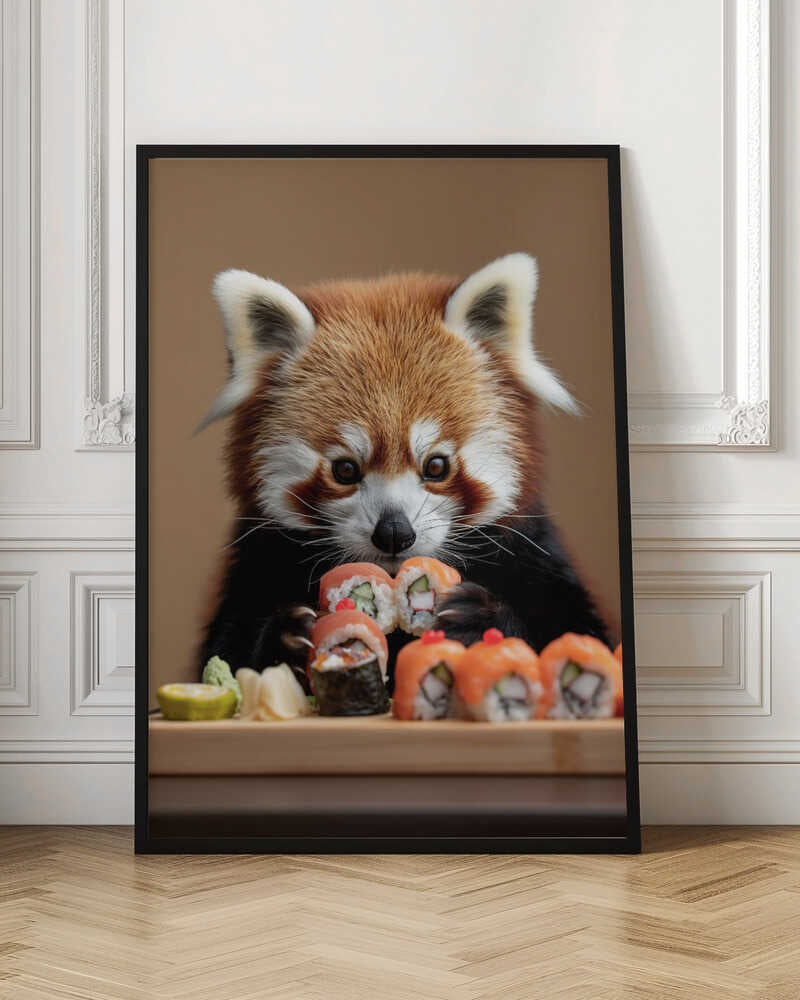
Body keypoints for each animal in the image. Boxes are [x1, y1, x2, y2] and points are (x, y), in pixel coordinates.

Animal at [197, 253, 612, 681]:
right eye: (345, 470)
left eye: (436, 466)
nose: (394, 533)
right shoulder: (255, 564)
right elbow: (224, 653)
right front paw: (288, 635)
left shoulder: (535, 555)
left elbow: (577, 633)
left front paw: (480, 622)